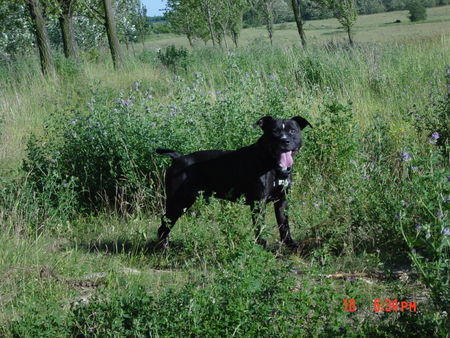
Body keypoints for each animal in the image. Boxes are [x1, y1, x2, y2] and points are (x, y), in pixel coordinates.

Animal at [156, 115, 312, 248]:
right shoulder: (258, 202)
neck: (272, 164)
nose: (284, 141)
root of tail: (178, 158)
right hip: (178, 202)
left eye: (292, 131)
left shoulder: (282, 200)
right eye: (274, 132)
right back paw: (164, 249)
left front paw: (290, 244)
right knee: (163, 226)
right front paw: (261, 247)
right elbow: (259, 227)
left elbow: (284, 225)